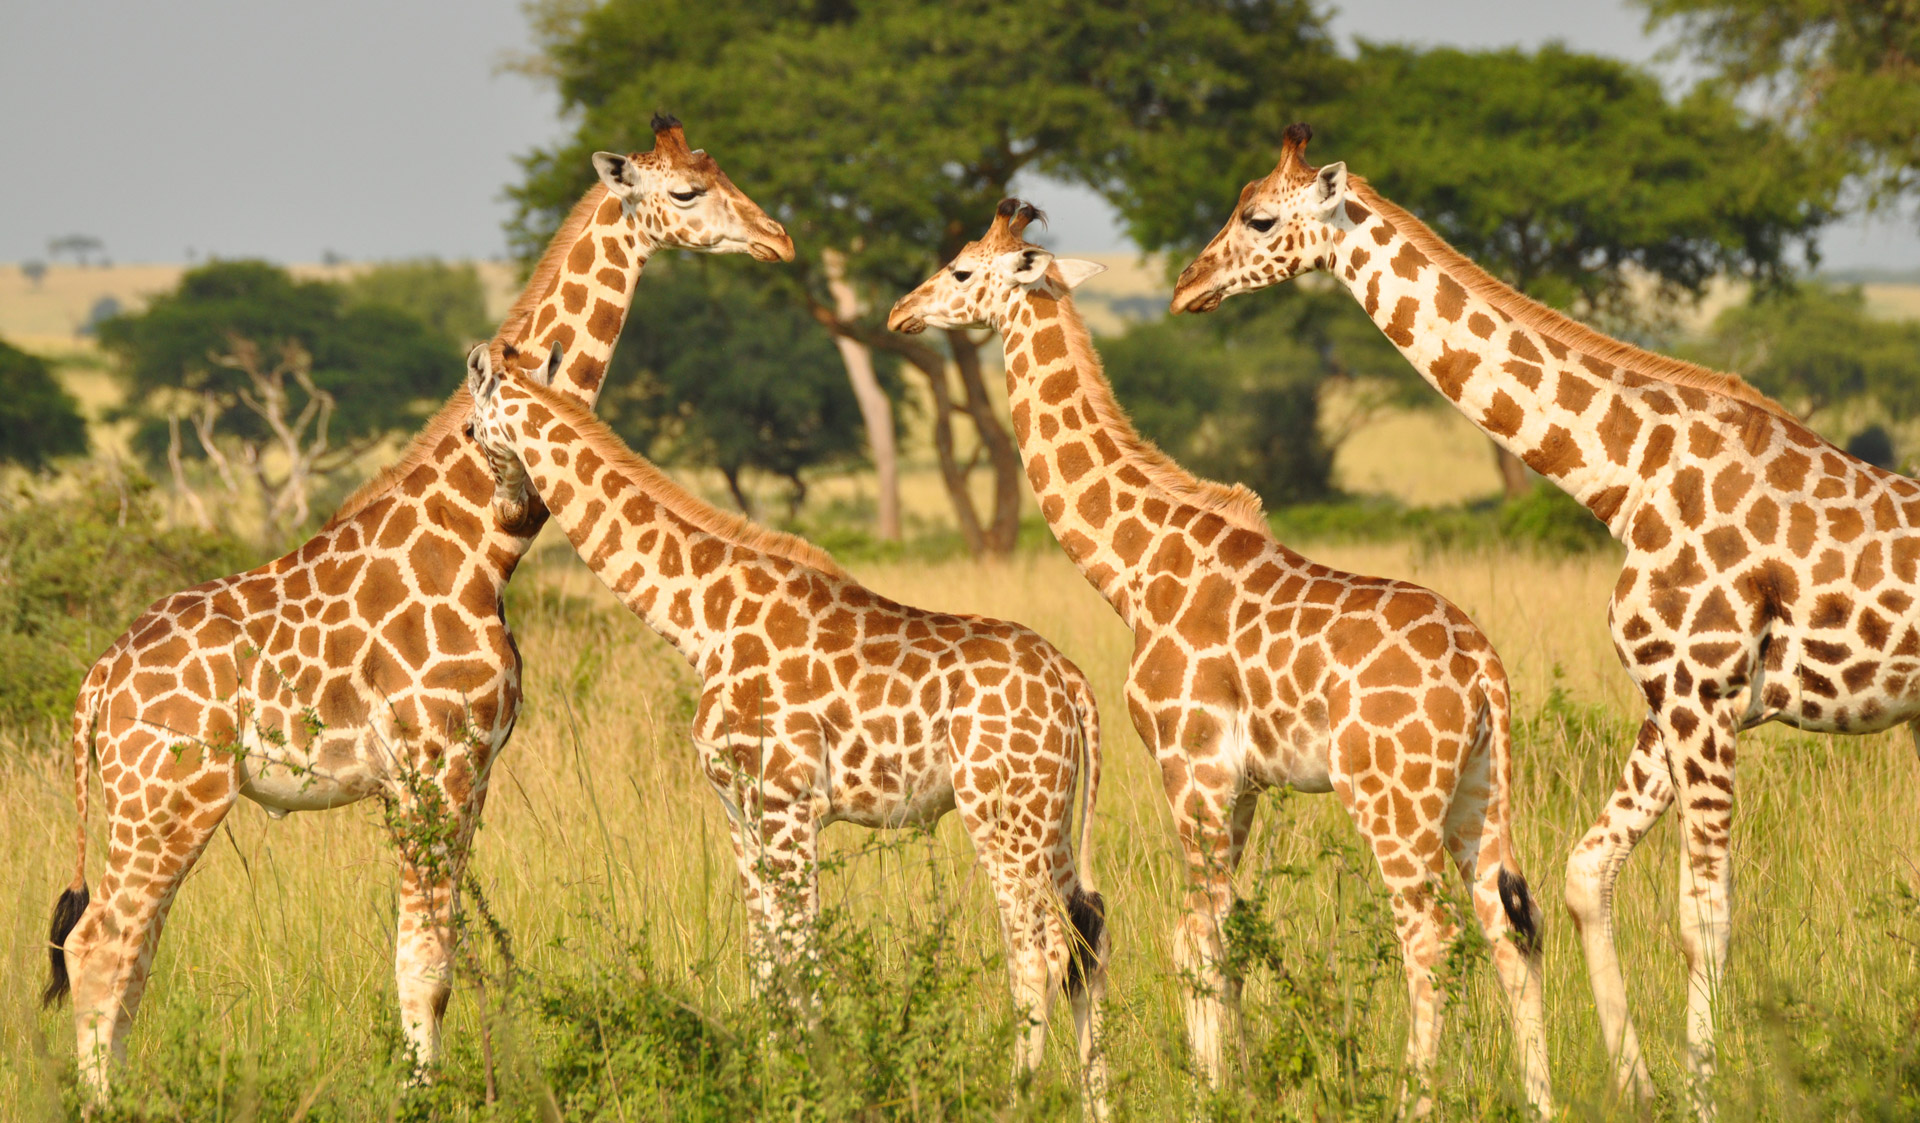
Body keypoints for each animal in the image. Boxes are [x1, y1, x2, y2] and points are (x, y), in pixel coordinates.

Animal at [45, 116, 794, 1098]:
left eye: (721, 169)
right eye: (684, 193)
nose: (778, 239)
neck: (483, 541)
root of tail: (97, 682)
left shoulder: (467, 771)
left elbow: (433, 951)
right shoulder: (435, 764)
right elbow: (426, 962)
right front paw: (419, 1095)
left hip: (157, 799)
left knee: (131, 947)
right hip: (168, 792)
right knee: (102, 941)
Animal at [464, 345, 1121, 1113]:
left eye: (474, 431)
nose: (507, 508)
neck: (699, 617)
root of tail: (1072, 680)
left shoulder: (788, 801)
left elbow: (801, 953)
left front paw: (814, 1084)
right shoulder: (738, 806)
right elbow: (765, 955)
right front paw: (774, 1075)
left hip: (1000, 813)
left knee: (1037, 948)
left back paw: (1016, 1095)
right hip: (1049, 815)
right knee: (1087, 935)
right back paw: (1098, 1102)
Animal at [890, 199, 1551, 1113]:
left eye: (960, 269)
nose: (899, 313)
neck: (1133, 566)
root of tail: (1484, 668)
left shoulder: (1189, 763)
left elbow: (1193, 931)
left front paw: (1213, 1092)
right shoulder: (1241, 784)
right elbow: (1225, 929)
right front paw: (1235, 1081)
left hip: (1393, 797)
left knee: (1431, 935)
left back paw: (1412, 1098)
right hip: (1477, 794)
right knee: (1507, 929)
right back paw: (1545, 1099)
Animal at [1167, 122, 1920, 1113]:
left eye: (1258, 216)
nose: (1185, 286)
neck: (1625, 478)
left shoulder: (1704, 690)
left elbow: (1703, 915)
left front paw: (1702, 1095)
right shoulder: (1683, 697)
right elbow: (1583, 874)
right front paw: (1639, 1086)